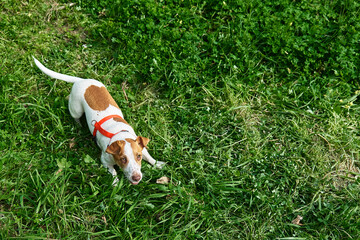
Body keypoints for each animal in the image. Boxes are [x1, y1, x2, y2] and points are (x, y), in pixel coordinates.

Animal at [33, 56, 165, 186]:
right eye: (123, 159)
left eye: (138, 156)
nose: (136, 177)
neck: (118, 134)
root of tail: (80, 80)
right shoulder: (105, 161)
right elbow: (113, 172)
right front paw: (115, 183)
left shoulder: (141, 146)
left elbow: (149, 156)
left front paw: (157, 163)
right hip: (76, 109)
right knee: (75, 115)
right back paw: (78, 124)